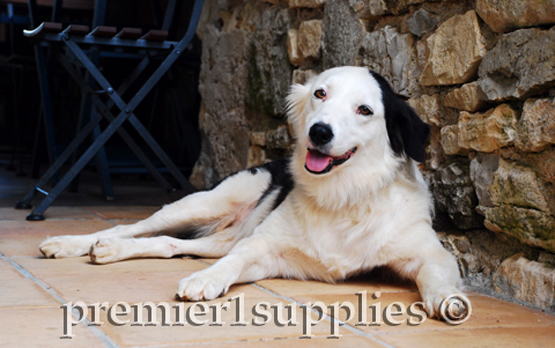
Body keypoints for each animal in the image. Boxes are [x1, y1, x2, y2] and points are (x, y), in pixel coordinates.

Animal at [40, 66, 464, 318]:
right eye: (320, 94)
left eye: (364, 110)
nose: (319, 132)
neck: (343, 196)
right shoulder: (263, 247)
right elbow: (231, 264)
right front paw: (205, 280)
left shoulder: (431, 253)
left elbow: (437, 275)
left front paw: (448, 299)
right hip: (206, 201)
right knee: (130, 228)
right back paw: (70, 243)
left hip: (220, 235)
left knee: (167, 244)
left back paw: (111, 252)